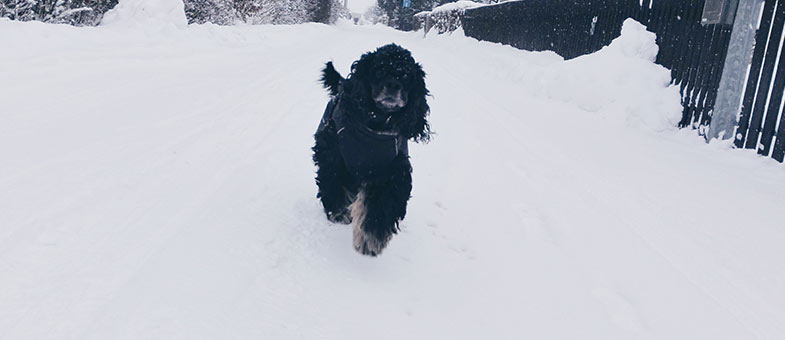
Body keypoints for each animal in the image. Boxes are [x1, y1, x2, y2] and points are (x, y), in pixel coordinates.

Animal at [312, 43, 432, 256]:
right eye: (379, 70)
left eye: (406, 76)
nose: (393, 85)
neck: (375, 125)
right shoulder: (333, 156)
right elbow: (332, 183)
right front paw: (338, 212)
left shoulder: (393, 168)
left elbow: (383, 202)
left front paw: (370, 238)